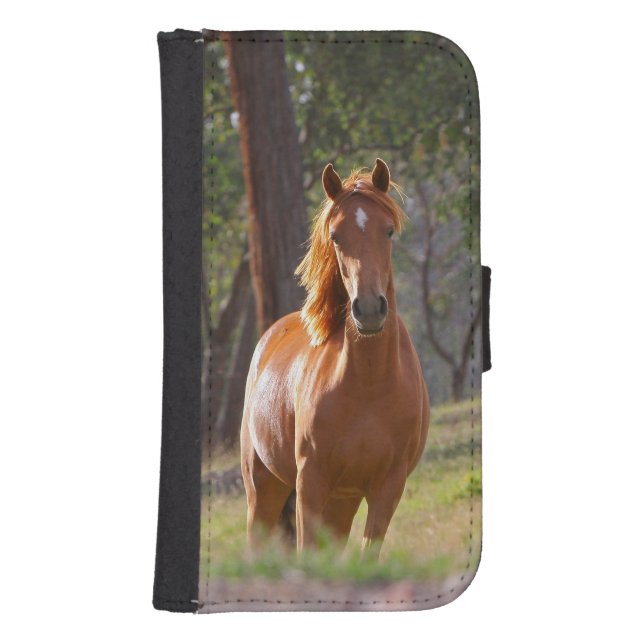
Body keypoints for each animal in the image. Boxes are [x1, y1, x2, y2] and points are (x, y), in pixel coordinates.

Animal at [240, 159, 430, 557]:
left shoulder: (387, 488)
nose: (369, 309)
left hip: (342, 502)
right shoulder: (311, 483)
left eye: (389, 231)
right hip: (264, 490)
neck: (369, 385)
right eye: (336, 236)